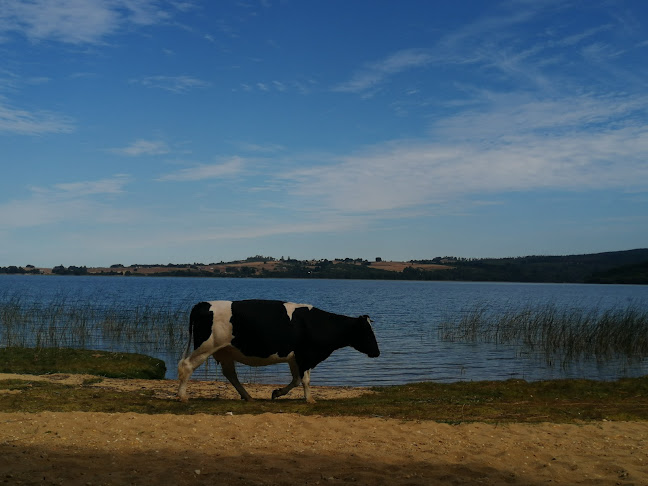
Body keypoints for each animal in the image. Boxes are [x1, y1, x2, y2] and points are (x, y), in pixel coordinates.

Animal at [177, 300, 380, 402]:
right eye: (367, 332)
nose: (377, 352)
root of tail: (202, 304)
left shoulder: (294, 358)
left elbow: (296, 380)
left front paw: (277, 393)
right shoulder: (305, 355)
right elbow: (305, 380)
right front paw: (310, 400)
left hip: (225, 350)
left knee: (230, 374)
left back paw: (248, 396)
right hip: (206, 346)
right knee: (186, 366)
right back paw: (182, 396)